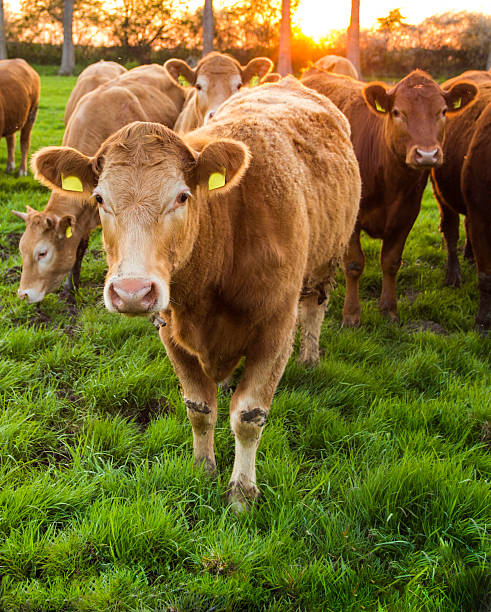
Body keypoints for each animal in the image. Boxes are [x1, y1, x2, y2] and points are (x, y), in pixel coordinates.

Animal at [31, 76, 362, 512]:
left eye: (182, 196)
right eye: (100, 199)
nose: (132, 292)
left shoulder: (275, 328)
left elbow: (249, 416)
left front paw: (241, 494)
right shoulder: (171, 330)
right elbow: (200, 408)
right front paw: (203, 470)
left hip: (326, 262)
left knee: (314, 309)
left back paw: (310, 357)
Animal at [302, 68, 478, 326]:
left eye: (443, 111)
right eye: (397, 112)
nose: (427, 154)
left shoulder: (406, 214)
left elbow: (391, 261)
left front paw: (389, 310)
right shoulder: (352, 218)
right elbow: (354, 264)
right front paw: (351, 315)